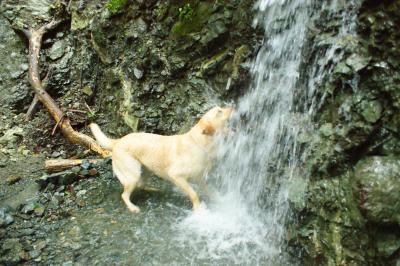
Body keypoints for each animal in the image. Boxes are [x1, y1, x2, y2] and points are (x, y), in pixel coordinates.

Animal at [89, 107, 233, 213]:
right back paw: (132, 207)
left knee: (141, 185)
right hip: (133, 174)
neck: (198, 143)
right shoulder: (177, 176)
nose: (233, 106)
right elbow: (194, 194)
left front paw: (220, 201)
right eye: (219, 111)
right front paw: (198, 210)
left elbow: (211, 191)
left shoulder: (200, 178)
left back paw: (153, 189)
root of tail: (118, 141)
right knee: (124, 195)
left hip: (146, 171)